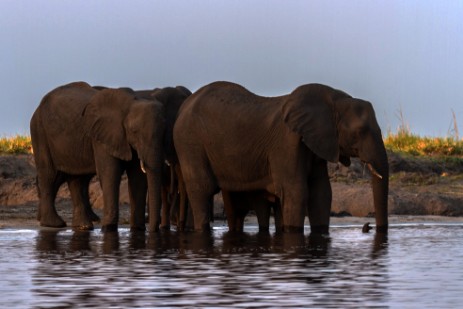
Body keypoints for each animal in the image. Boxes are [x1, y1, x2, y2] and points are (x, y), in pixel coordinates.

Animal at [30, 82, 166, 231]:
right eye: (134, 131)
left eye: (164, 132)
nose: (153, 229)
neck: (132, 102)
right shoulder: (103, 136)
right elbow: (110, 173)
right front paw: (108, 228)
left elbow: (137, 176)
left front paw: (137, 229)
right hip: (39, 131)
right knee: (49, 174)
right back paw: (53, 224)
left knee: (77, 179)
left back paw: (83, 226)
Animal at [173, 80, 388, 232]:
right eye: (360, 131)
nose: (368, 227)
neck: (334, 100)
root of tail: (183, 107)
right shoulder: (286, 144)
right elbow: (297, 191)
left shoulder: (316, 143)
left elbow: (322, 193)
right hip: (189, 142)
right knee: (202, 189)